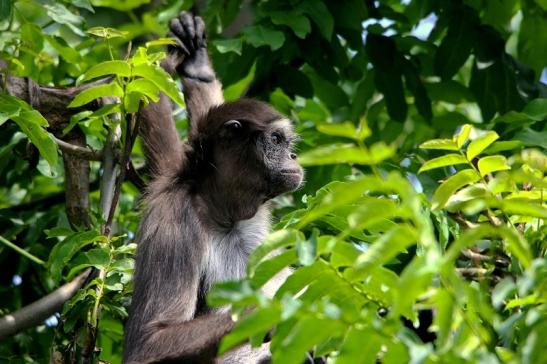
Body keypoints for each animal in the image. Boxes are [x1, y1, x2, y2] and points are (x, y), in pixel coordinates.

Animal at [122, 12, 304, 364]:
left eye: (286, 144)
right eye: (277, 140)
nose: (293, 157)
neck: (224, 214)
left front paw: (198, 68)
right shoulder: (174, 223)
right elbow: (146, 344)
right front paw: (276, 312)